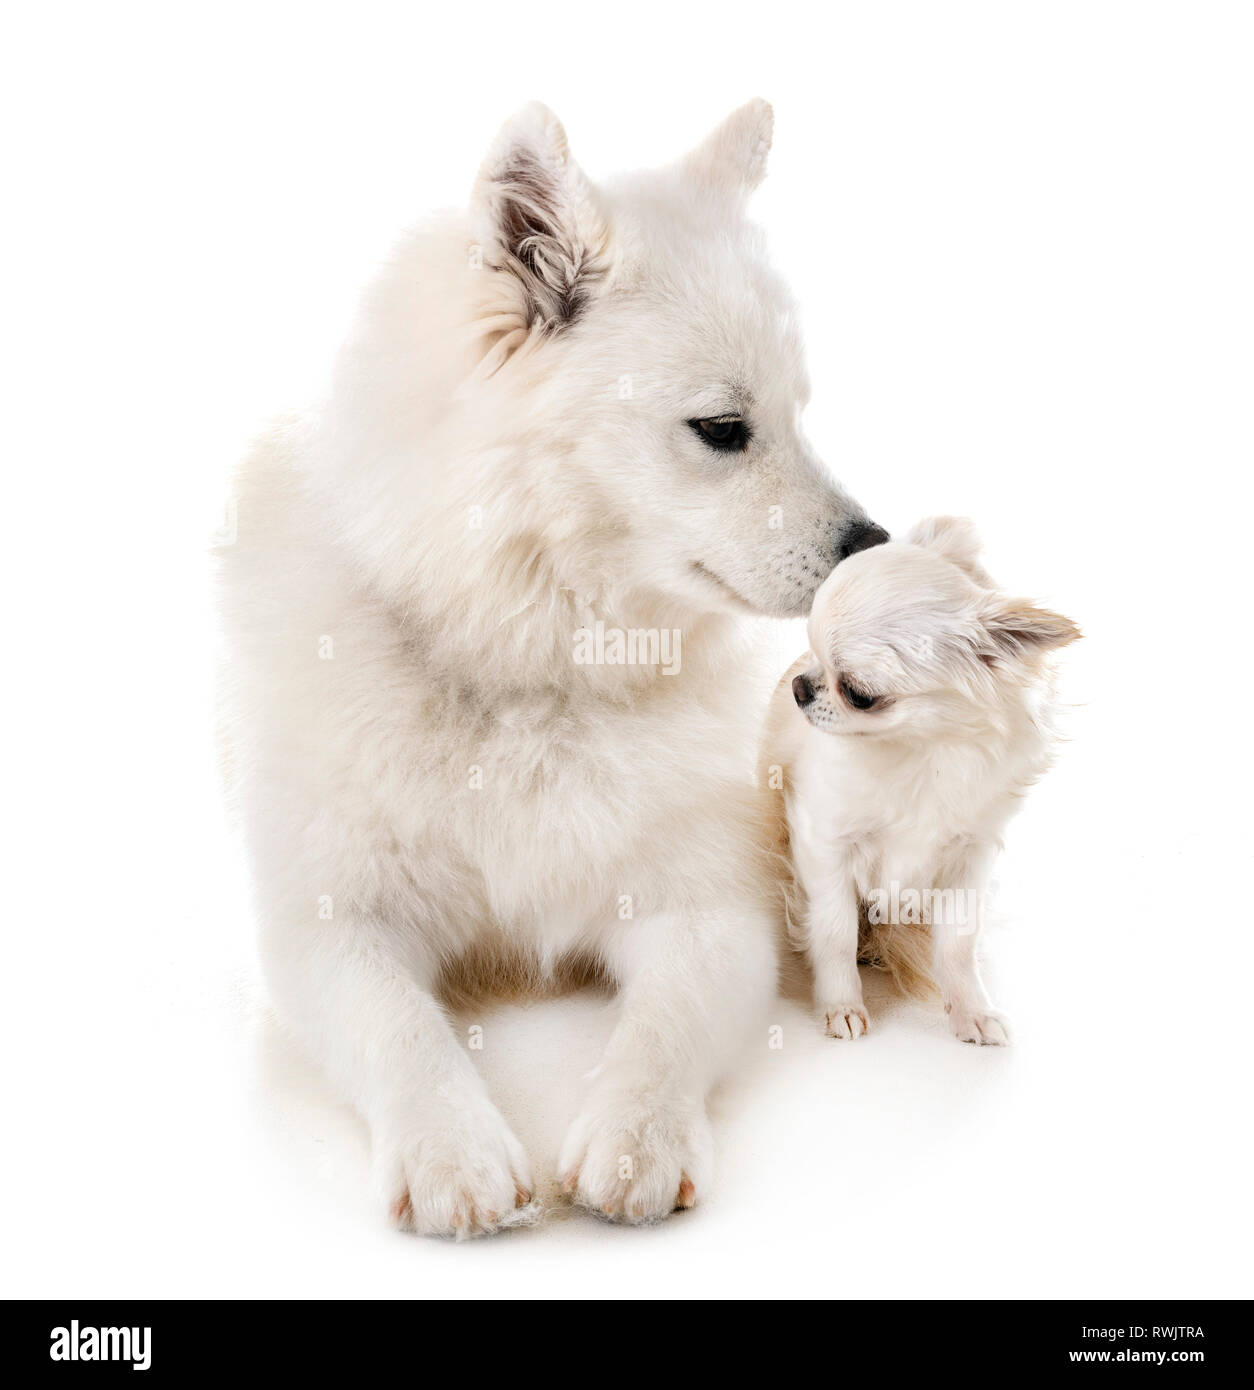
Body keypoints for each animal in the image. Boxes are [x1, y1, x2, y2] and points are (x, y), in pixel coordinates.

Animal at [218, 102, 884, 1245]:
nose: (874, 546)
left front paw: (638, 1136)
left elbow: (664, 1026)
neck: (527, 668)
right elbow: (398, 1024)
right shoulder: (328, 925)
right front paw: (452, 1149)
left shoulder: (710, 908)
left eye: (801, 413)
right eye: (723, 429)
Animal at [767, 519, 1078, 1045]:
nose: (799, 687)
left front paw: (971, 1009)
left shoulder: (968, 857)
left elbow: (957, 943)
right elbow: (834, 930)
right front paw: (841, 1004)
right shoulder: (824, 842)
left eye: (858, 694)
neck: (923, 750)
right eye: (808, 651)